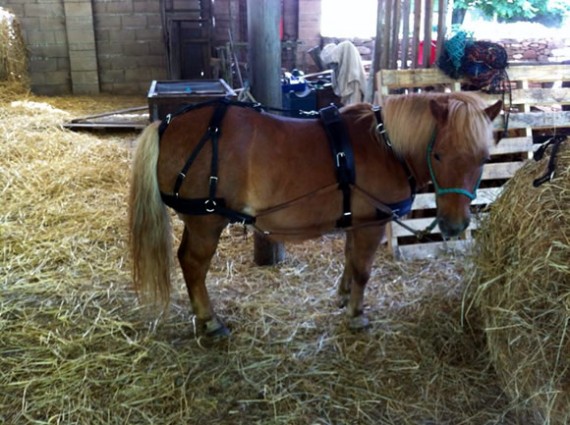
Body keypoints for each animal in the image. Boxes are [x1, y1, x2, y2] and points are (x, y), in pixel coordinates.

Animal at [130, 92, 502, 334]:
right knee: (193, 264)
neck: (385, 146)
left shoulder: (357, 222)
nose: (454, 226)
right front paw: (356, 313)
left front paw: (343, 296)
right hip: (206, 221)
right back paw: (209, 320)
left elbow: (350, 260)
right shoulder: (372, 225)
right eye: (438, 154)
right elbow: (363, 270)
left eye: (484, 157)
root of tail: (165, 124)